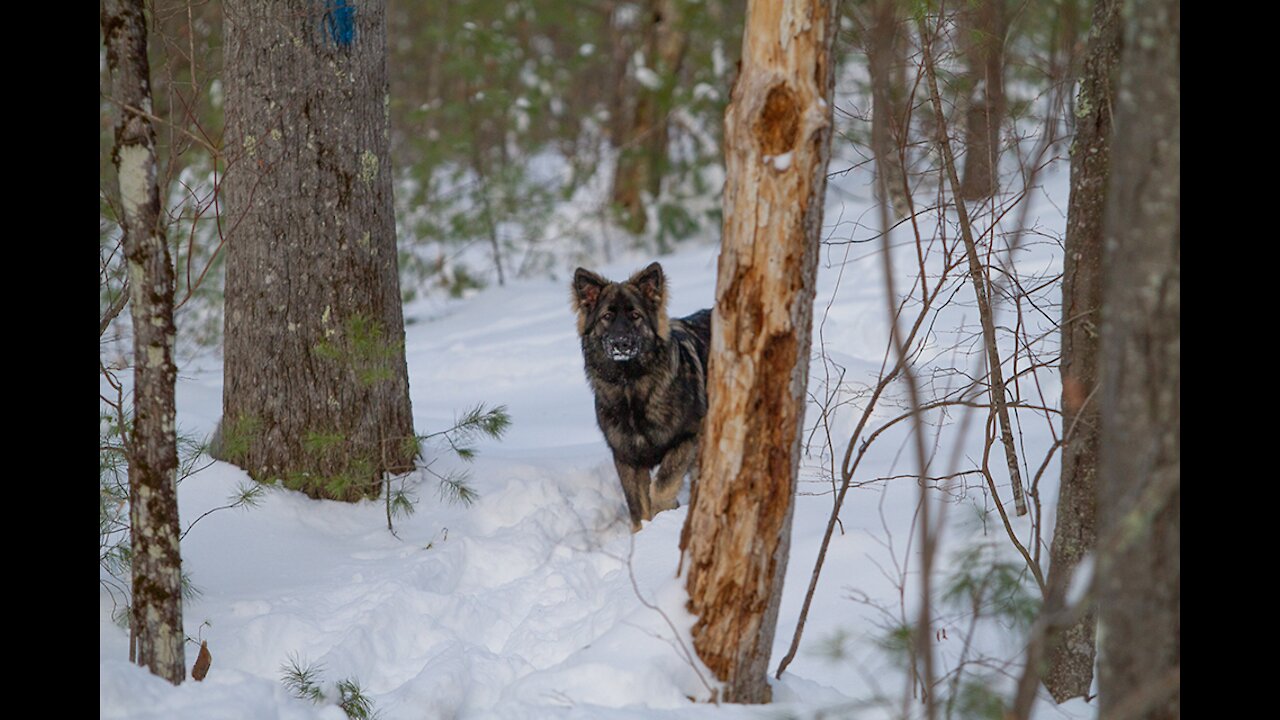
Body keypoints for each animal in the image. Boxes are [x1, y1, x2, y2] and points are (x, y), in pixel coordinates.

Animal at [570, 260, 711, 530]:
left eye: (635, 315)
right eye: (607, 317)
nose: (621, 343)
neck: (631, 388)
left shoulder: (688, 437)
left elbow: (663, 484)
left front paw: (665, 514)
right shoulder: (626, 458)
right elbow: (637, 506)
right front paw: (644, 531)